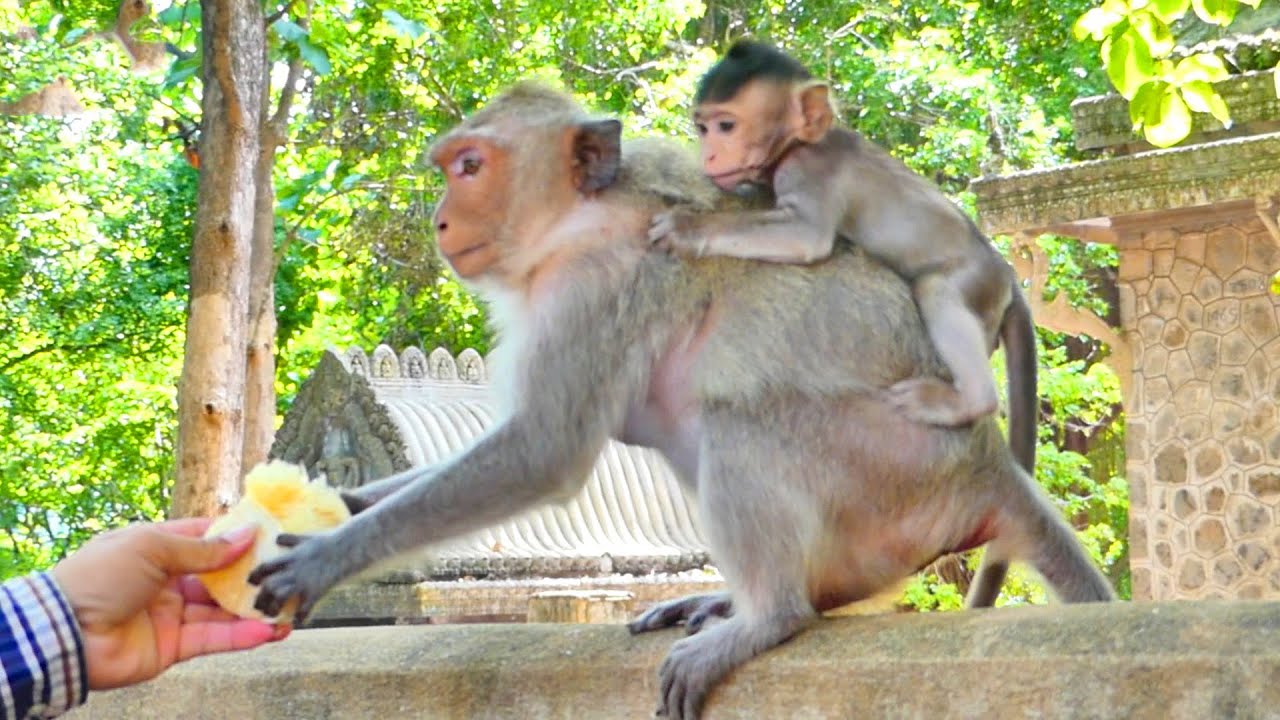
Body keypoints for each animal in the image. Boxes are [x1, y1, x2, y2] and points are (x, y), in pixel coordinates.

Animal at [248, 81, 1114, 720]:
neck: (579, 215)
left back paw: (767, 616)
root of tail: (988, 463)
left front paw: (326, 557)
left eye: (469, 165)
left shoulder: (596, 286)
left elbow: (544, 448)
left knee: (736, 420)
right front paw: (338, 503)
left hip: (896, 463)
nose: (439, 220)